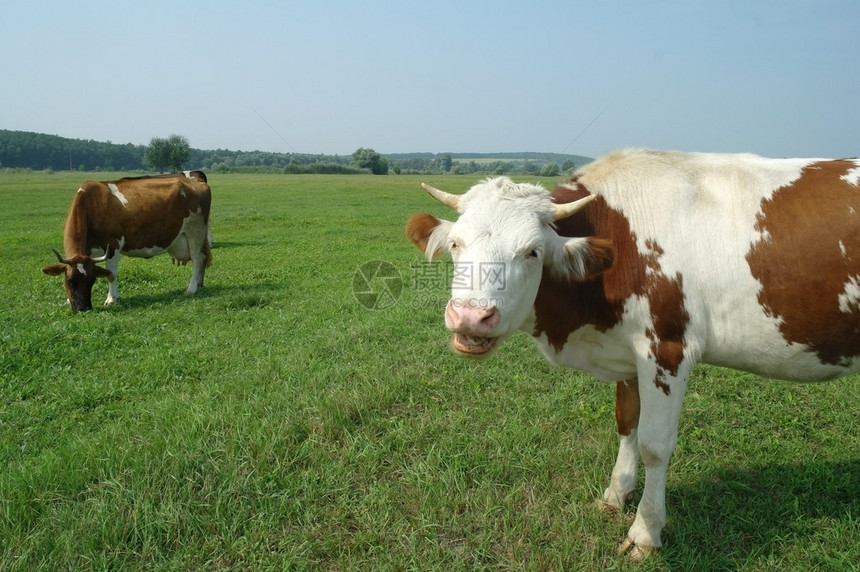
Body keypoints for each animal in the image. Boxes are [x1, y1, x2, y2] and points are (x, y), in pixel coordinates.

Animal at [42, 170, 213, 312]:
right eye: (70, 281)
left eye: (92, 281)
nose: (83, 308)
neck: (91, 206)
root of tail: (196, 181)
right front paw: (67, 300)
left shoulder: (113, 245)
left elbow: (111, 274)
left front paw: (111, 299)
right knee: (203, 258)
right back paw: (199, 284)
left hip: (195, 230)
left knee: (198, 259)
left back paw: (191, 289)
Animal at [406, 150, 860, 560]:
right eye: (456, 244)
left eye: (532, 251)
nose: (470, 316)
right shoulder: (628, 352)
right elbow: (627, 424)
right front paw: (616, 492)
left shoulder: (667, 350)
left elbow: (654, 445)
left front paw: (645, 530)